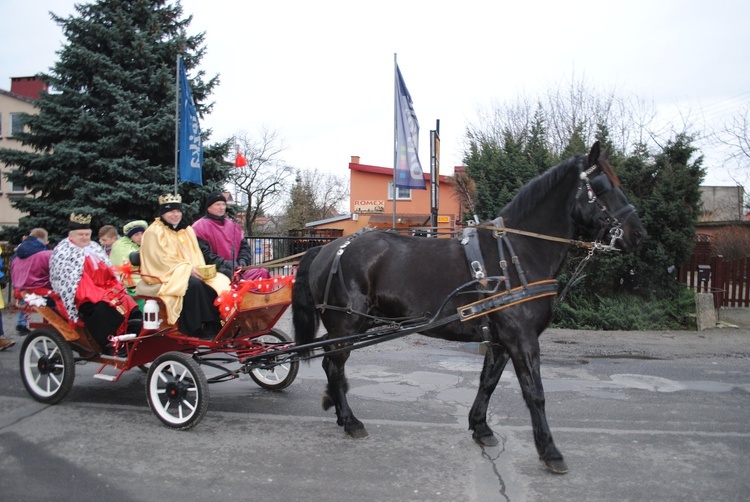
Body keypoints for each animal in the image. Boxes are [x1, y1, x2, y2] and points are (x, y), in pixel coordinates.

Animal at [294, 142, 648, 474]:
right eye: (603, 186)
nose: (638, 234)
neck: (515, 254)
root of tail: (328, 248)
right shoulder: (522, 338)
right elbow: (534, 392)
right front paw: (550, 451)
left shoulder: (501, 340)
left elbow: (488, 382)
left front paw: (481, 427)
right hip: (347, 325)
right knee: (333, 366)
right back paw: (350, 420)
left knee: (331, 365)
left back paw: (336, 407)